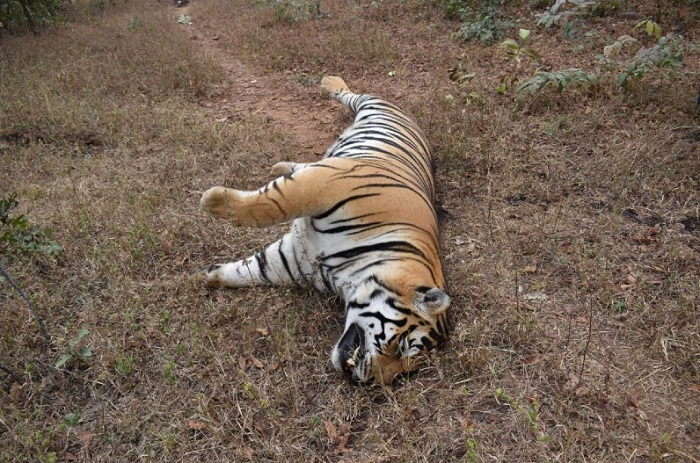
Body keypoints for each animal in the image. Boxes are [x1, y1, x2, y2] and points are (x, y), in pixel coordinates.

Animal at [197, 76, 448, 384]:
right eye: (402, 347)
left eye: (403, 372)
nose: (368, 381)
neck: (347, 276)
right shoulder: (328, 182)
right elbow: (273, 203)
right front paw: (213, 201)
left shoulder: (291, 261)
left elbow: (249, 269)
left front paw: (208, 275)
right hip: (372, 105)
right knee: (350, 95)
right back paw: (329, 81)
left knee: (304, 164)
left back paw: (280, 167)